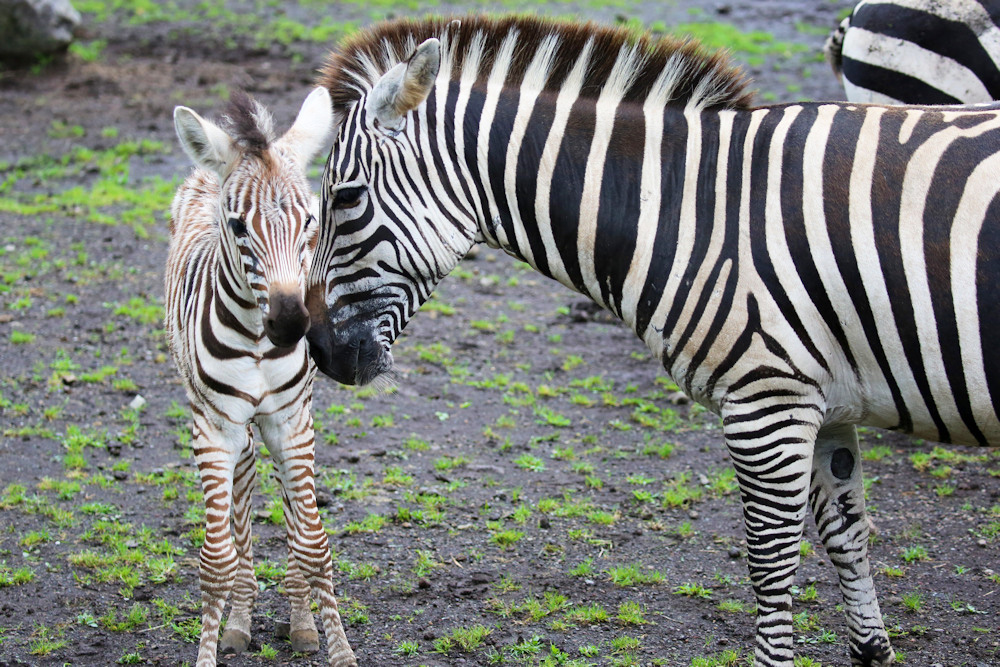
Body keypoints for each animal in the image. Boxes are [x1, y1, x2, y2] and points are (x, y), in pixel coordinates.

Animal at [167, 88, 360, 667]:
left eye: (311, 220)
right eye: (237, 227)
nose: (292, 324)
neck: (255, 337)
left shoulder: (291, 422)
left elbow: (315, 545)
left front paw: (339, 648)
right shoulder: (214, 430)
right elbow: (217, 559)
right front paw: (210, 649)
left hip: (290, 420)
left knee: (288, 502)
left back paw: (300, 623)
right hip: (229, 424)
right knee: (245, 486)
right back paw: (239, 619)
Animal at [304, 15, 1000, 667]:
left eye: (345, 197)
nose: (320, 352)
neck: (689, 212)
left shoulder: (767, 403)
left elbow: (770, 563)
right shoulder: (824, 401)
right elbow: (846, 534)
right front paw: (871, 650)